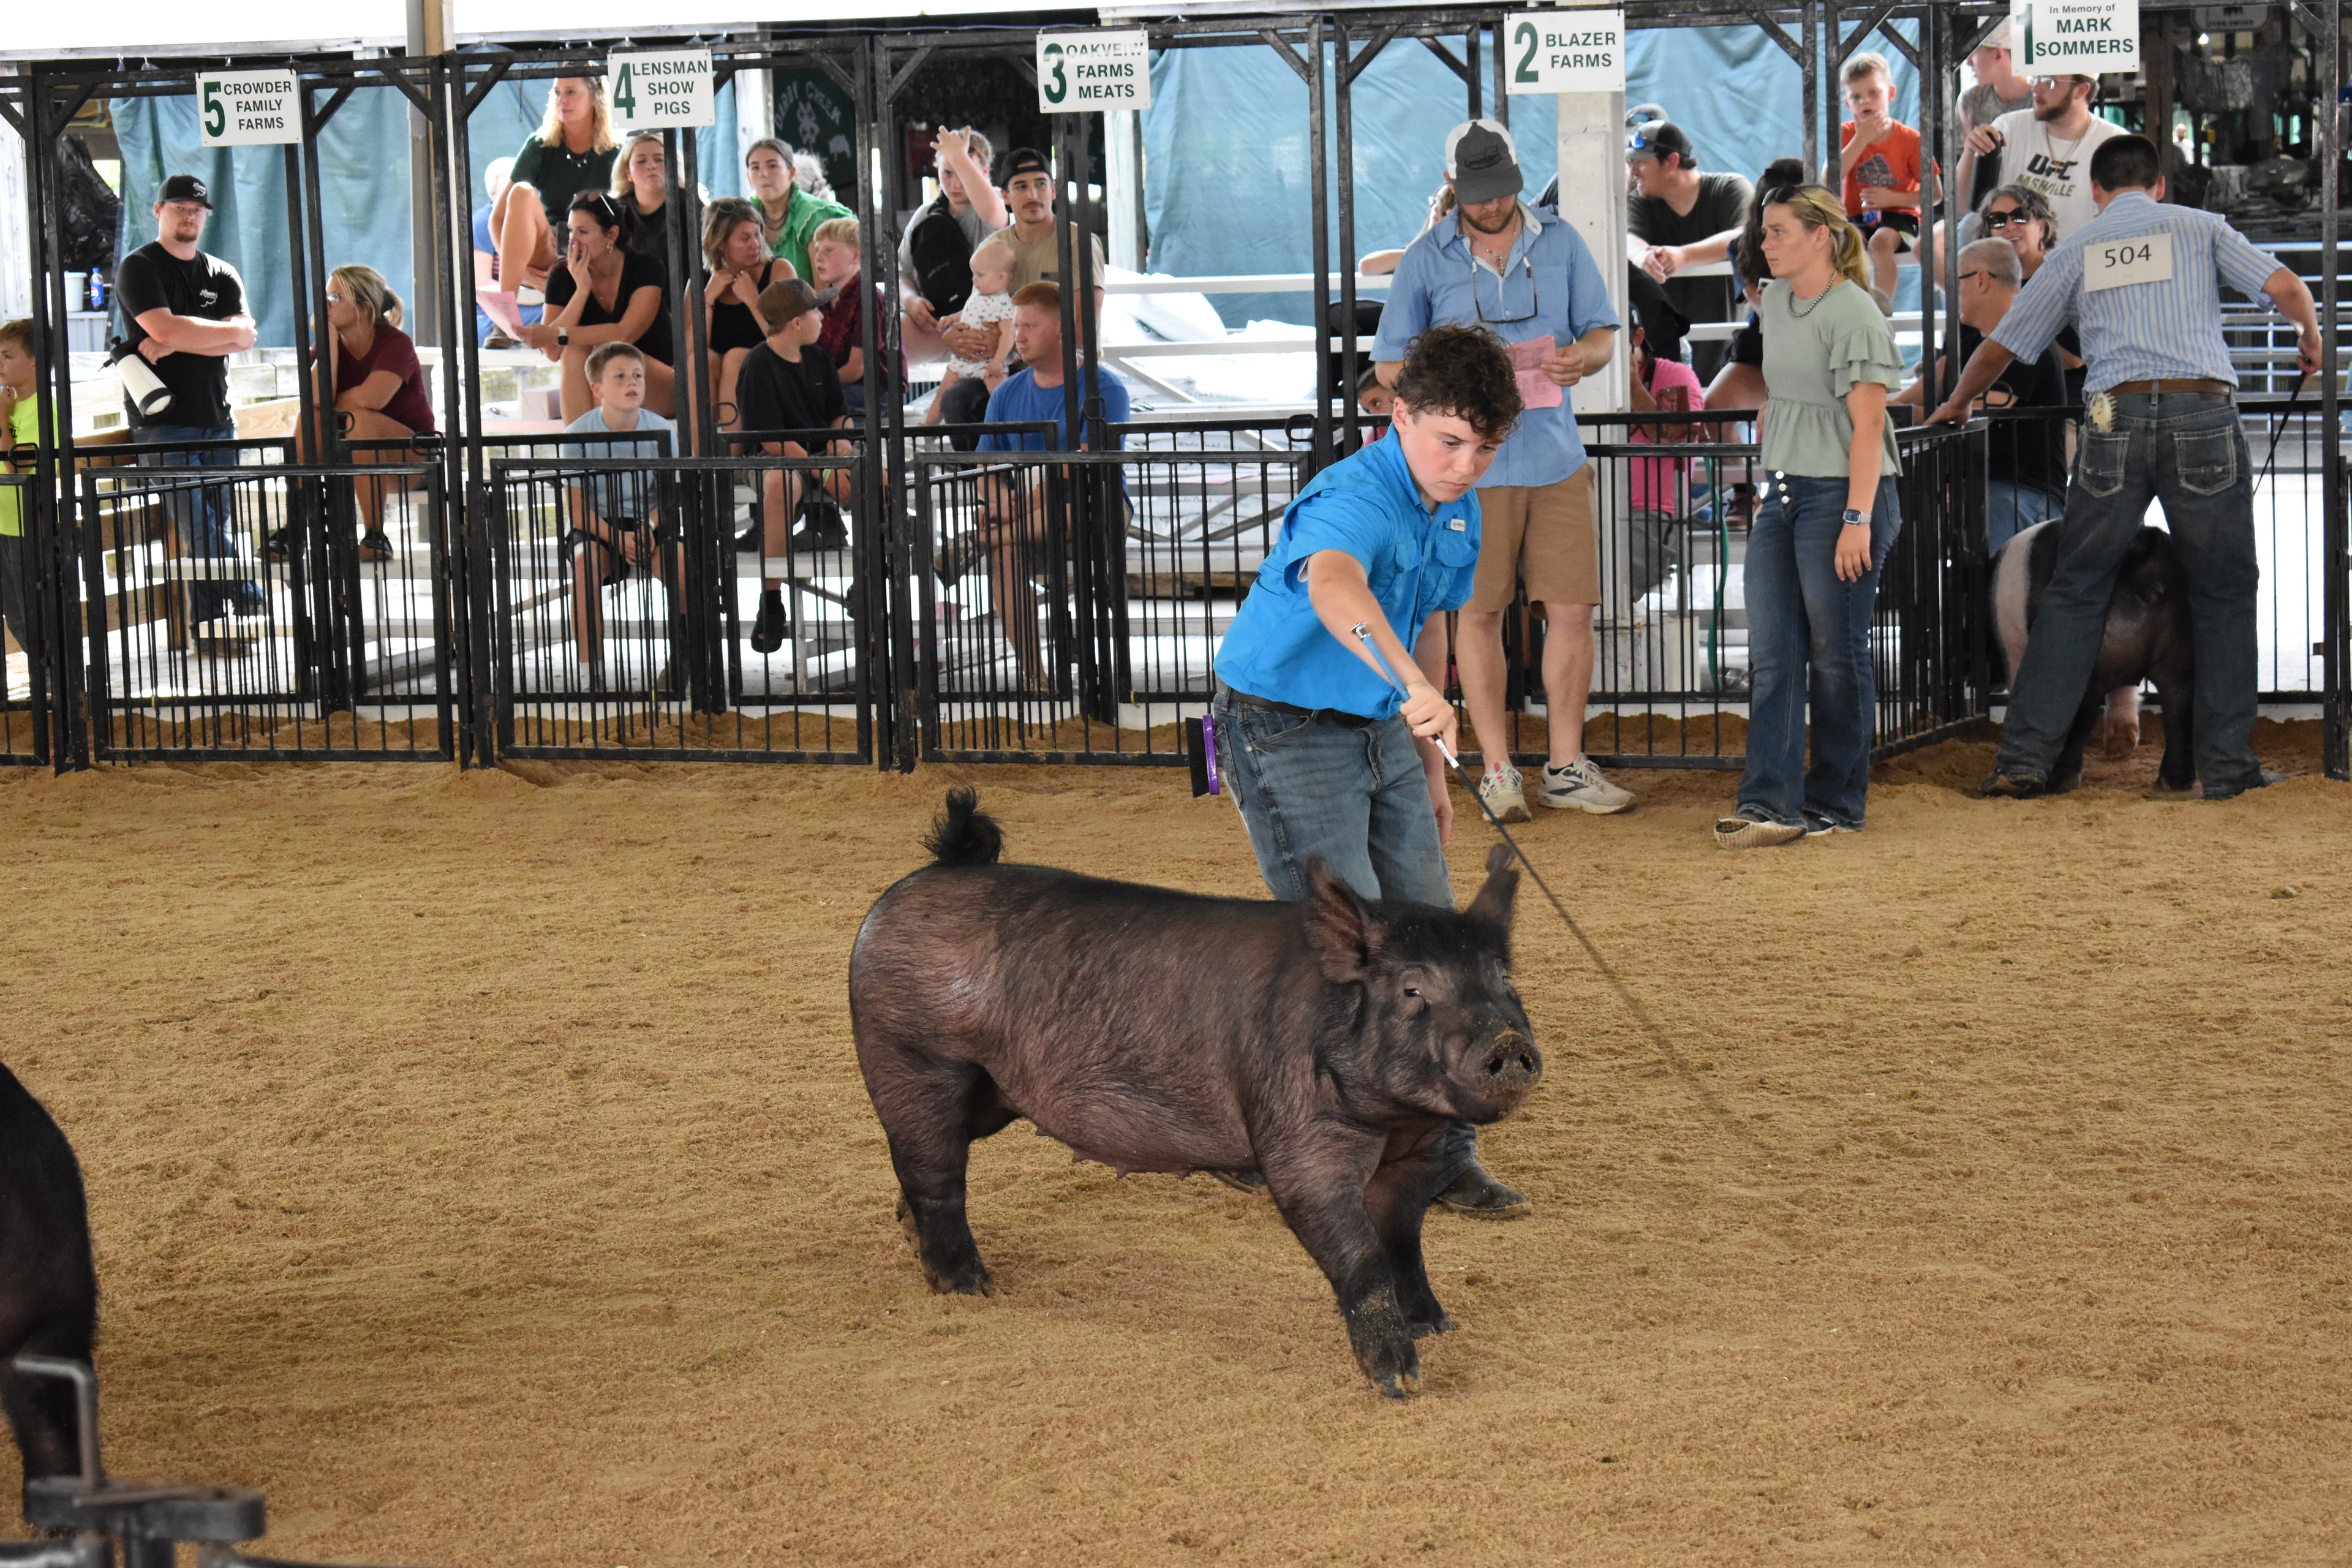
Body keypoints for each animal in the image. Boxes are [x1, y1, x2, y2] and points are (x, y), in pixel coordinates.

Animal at [849, 789, 1542, 1398]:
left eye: (1503, 979)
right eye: (1412, 989)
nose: (1508, 1041)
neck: (1393, 1120)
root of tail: (927, 876)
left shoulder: (1418, 1151)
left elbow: (1404, 1241)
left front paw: (1440, 1325)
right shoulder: (1299, 1131)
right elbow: (1358, 1252)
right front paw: (1401, 1381)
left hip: (992, 1091)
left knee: (922, 1165)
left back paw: (913, 1237)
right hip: (916, 1056)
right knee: (933, 1169)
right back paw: (970, 1286)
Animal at [1992, 521, 2195, 792]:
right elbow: (2125, 692)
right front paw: (2121, 749)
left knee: (2080, 715)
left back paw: (2056, 783)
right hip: (2180, 647)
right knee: (2179, 705)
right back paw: (2171, 784)